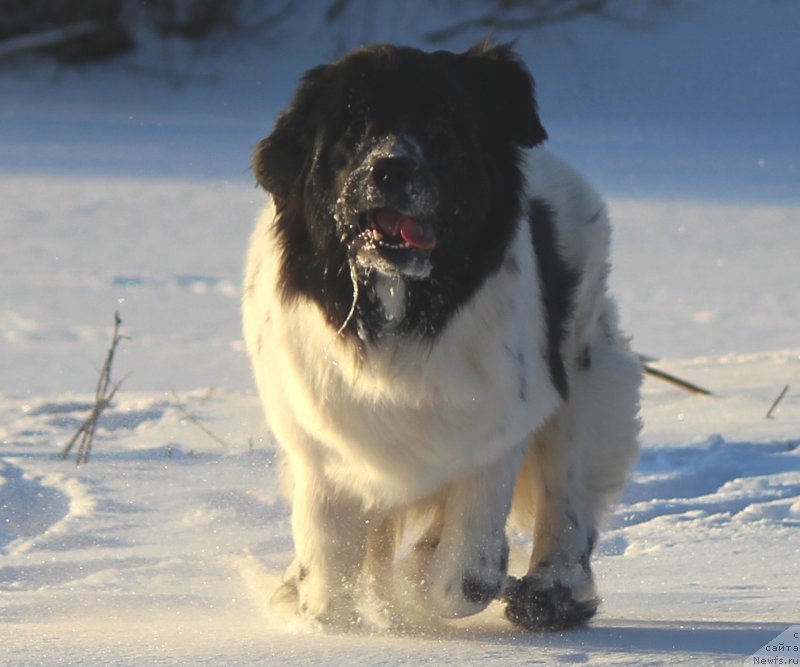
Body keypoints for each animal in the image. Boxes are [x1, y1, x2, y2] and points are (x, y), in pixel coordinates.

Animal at [244, 43, 644, 632]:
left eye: (441, 127)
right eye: (350, 129)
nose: (391, 167)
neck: (401, 315)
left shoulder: (497, 431)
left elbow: (462, 576)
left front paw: (427, 579)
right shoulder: (323, 449)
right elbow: (330, 574)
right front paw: (323, 610)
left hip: (587, 375)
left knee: (566, 496)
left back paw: (549, 593)